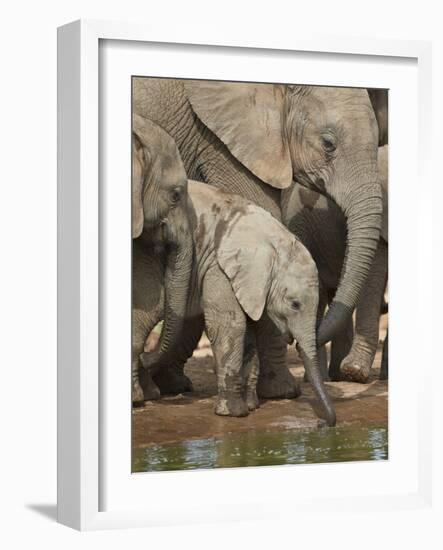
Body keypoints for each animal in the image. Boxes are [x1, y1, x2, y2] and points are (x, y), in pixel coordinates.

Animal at [142, 181, 336, 426]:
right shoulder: (218, 266)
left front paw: (251, 406)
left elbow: (249, 331)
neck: (273, 239)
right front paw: (234, 413)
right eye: (294, 304)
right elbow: (230, 326)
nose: (323, 423)